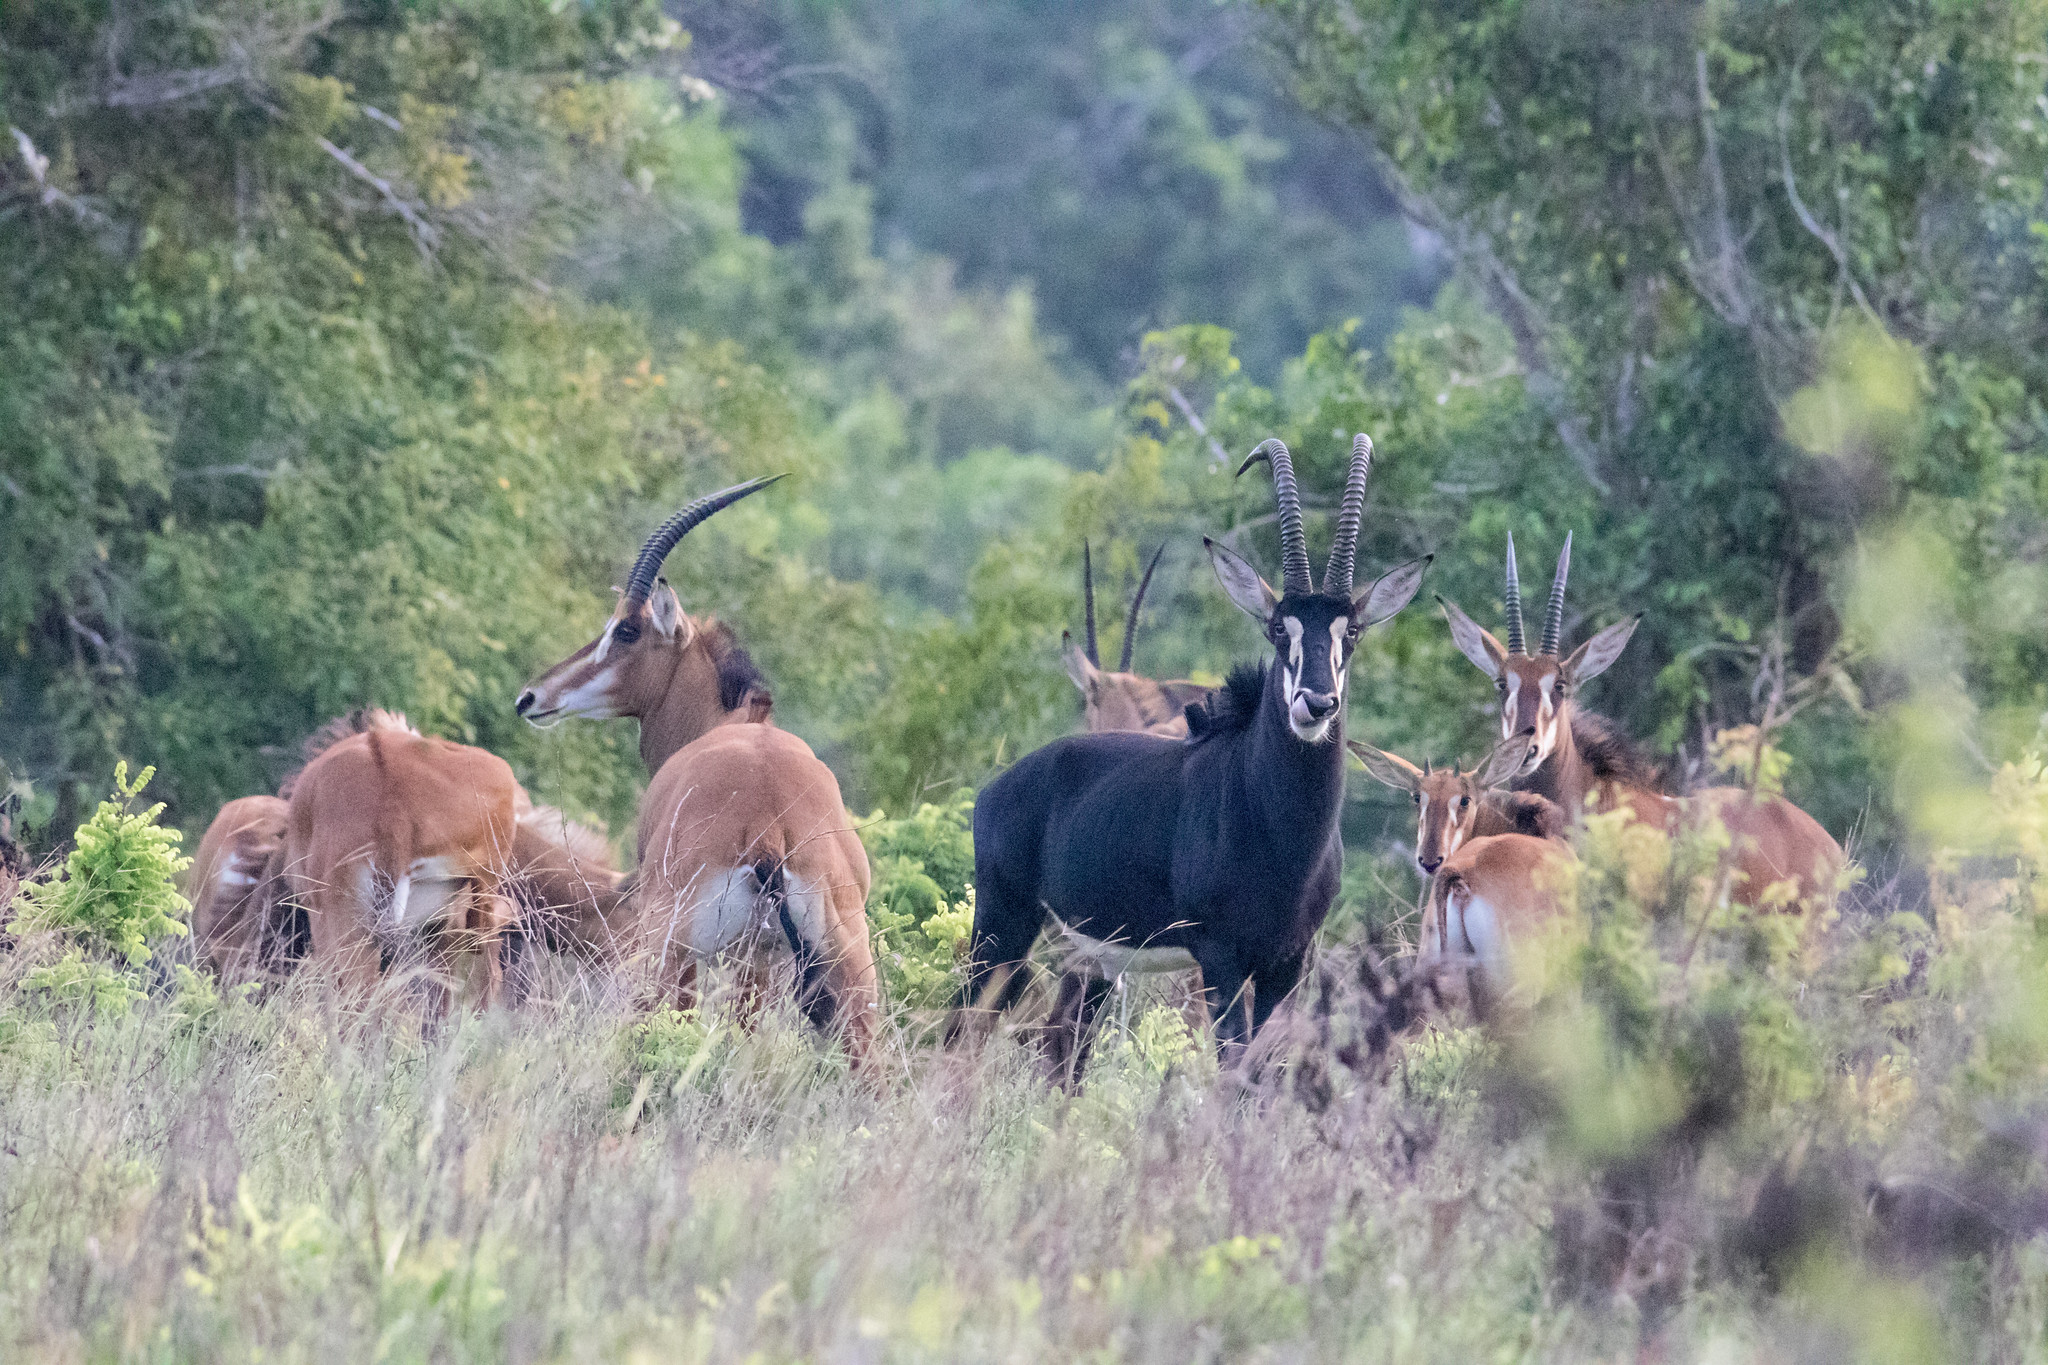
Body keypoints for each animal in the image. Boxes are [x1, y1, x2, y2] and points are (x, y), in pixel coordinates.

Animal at [512, 480, 880, 1064]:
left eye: (627, 629)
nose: (531, 698)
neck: (732, 723)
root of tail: (770, 832)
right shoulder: (760, 960)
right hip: (845, 965)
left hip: (668, 948)